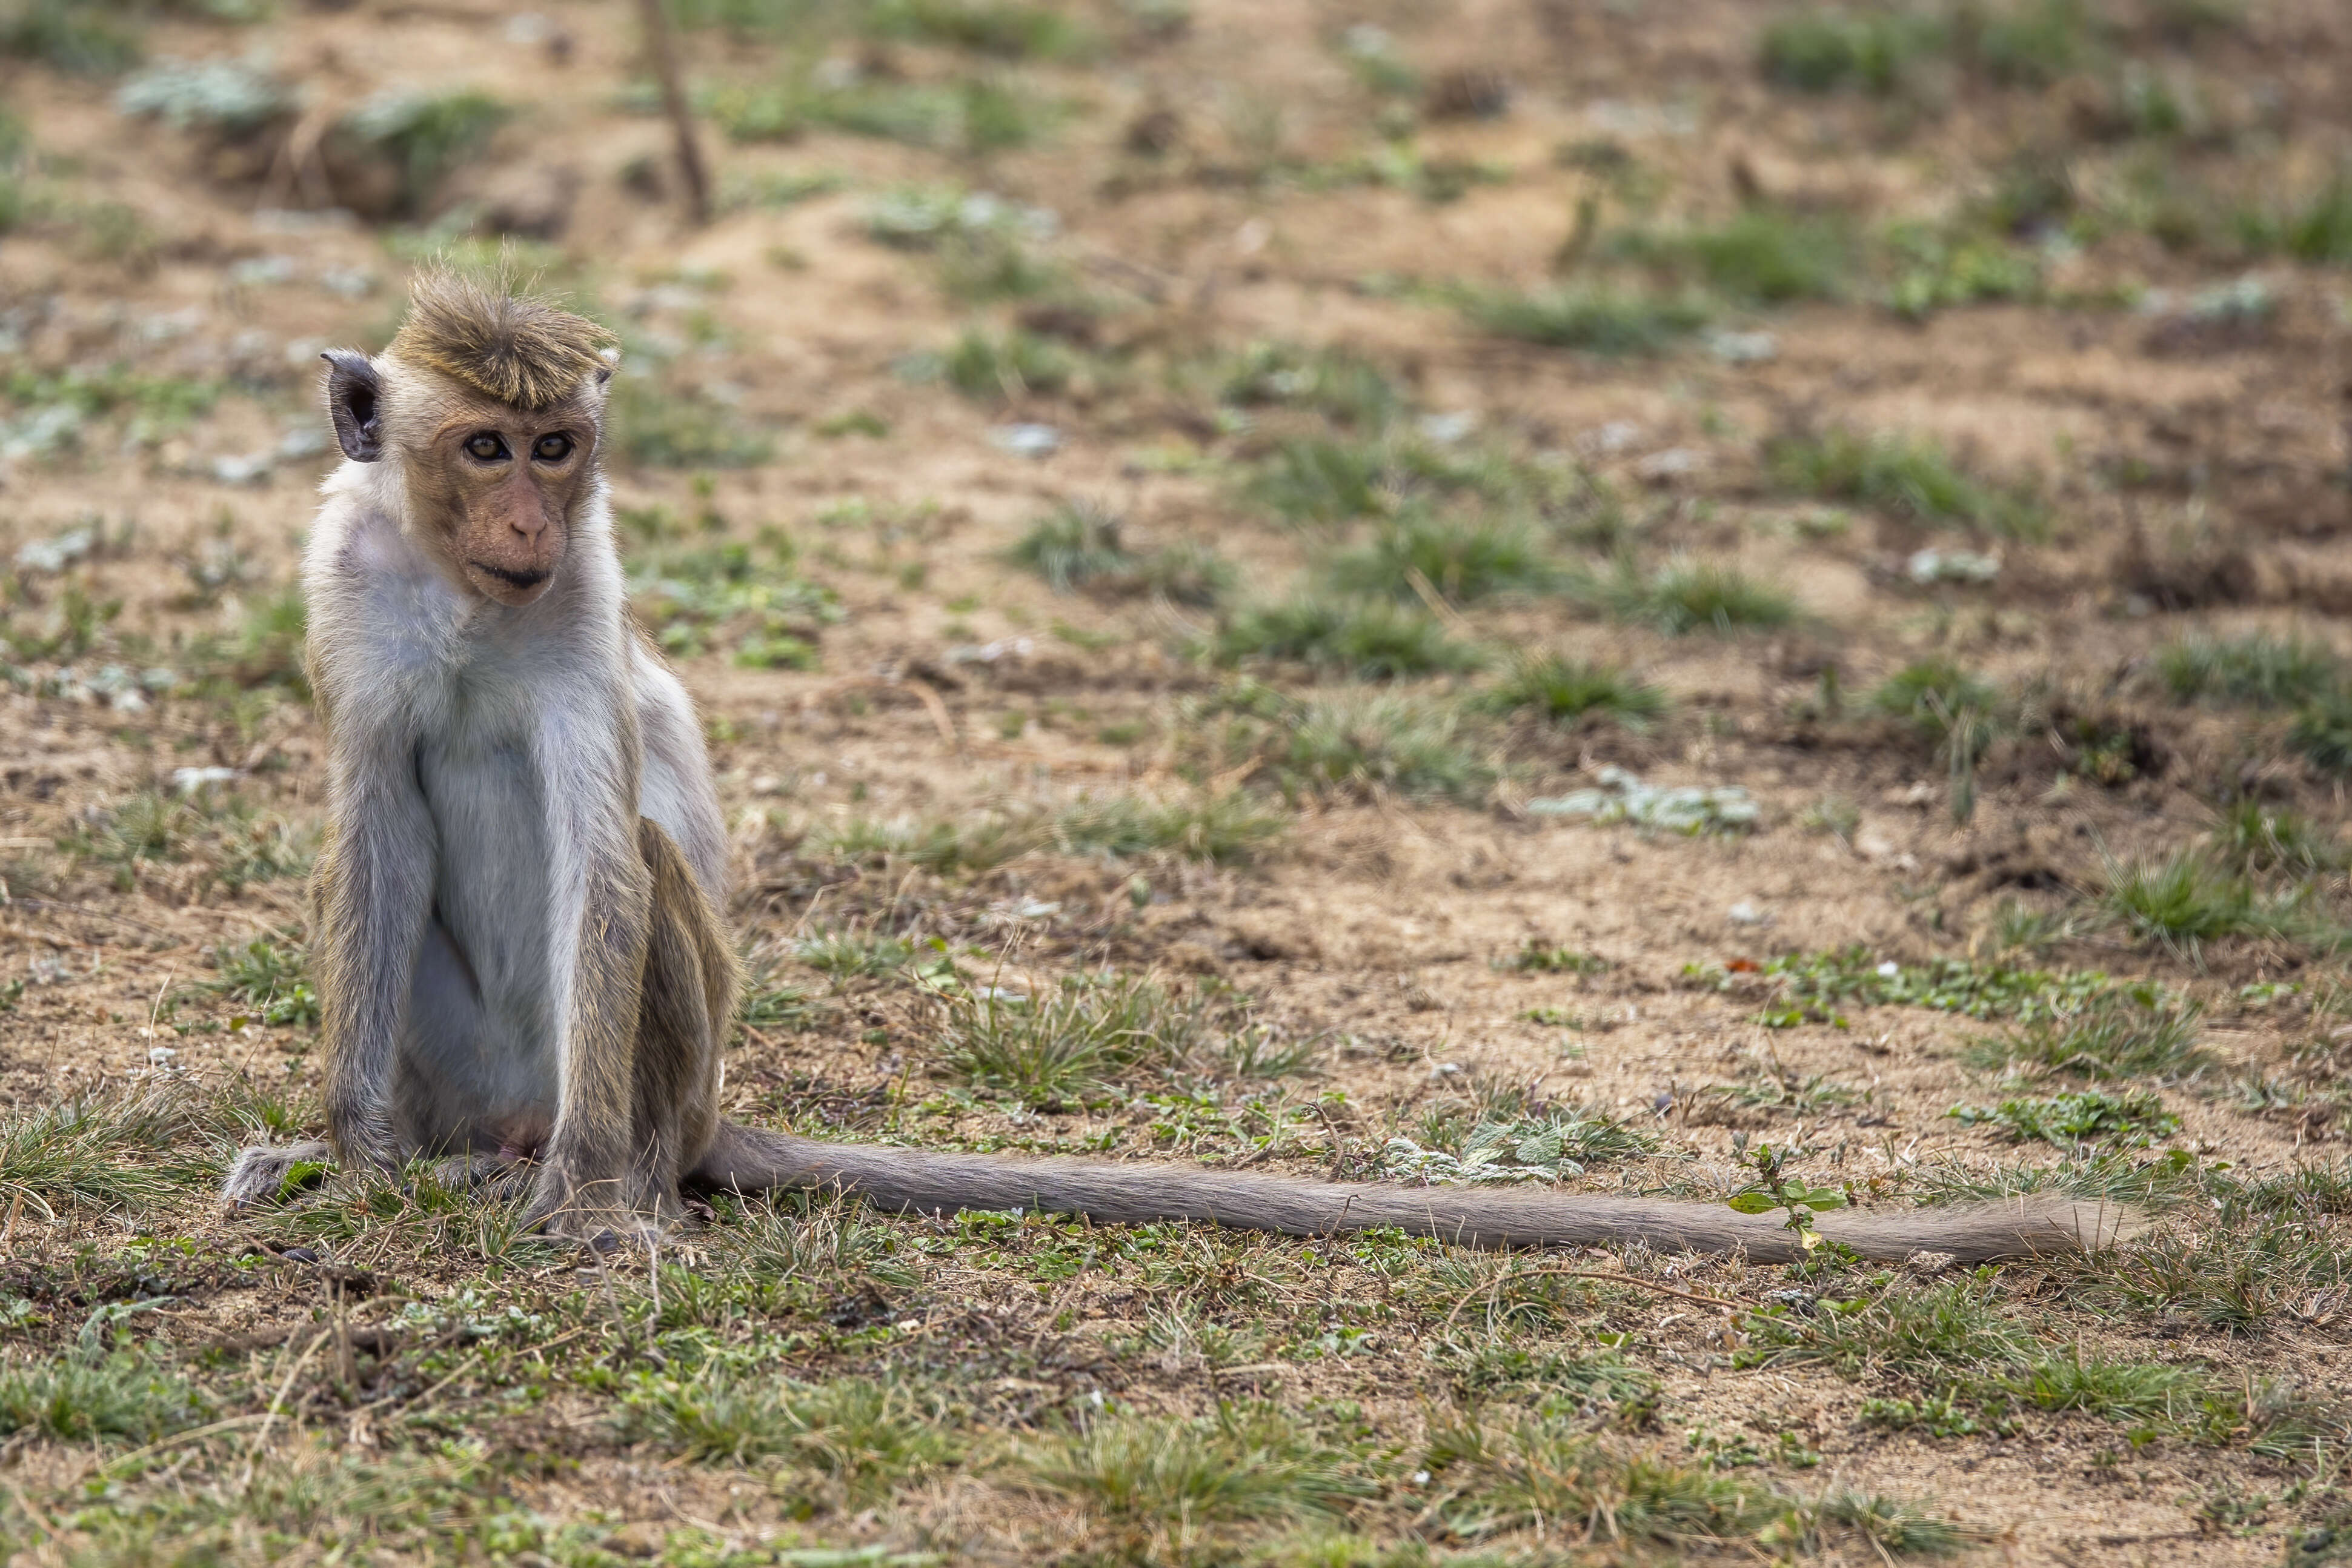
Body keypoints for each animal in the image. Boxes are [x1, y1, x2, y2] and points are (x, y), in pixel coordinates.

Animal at [221, 276, 2135, 1269]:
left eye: (560, 445)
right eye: (484, 446)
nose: (533, 518)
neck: (471, 590)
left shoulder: (590, 600)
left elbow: (606, 843)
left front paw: (583, 1202)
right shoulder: (349, 583)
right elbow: (369, 815)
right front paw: (344, 1152)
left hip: (654, 1072)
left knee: (643, 867)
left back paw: (573, 1163)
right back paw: (444, 1158)